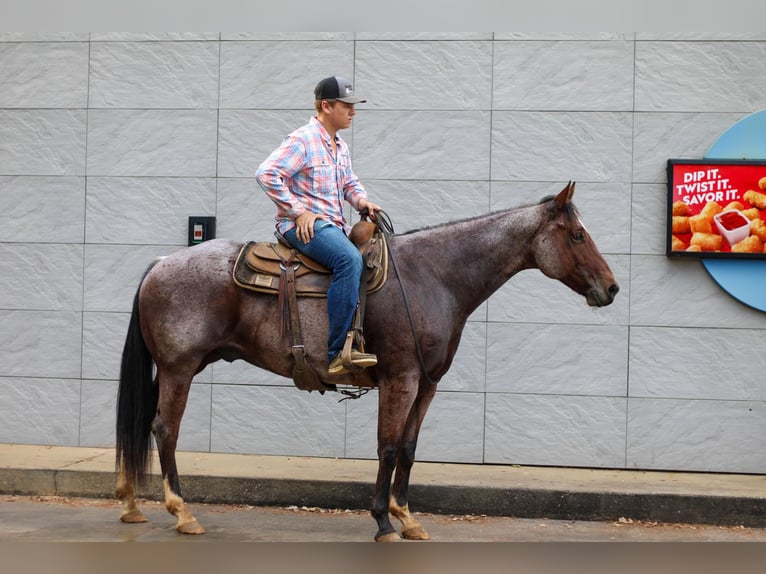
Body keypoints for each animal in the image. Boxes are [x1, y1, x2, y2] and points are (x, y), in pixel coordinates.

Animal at [115, 182, 616, 544]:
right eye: (577, 235)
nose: (610, 288)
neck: (433, 277)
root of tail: (161, 263)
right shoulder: (401, 379)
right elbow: (388, 446)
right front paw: (383, 522)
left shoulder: (427, 384)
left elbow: (409, 449)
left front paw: (407, 518)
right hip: (180, 368)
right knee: (165, 429)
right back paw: (182, 512)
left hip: (174, 368)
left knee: (141, 422)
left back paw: (131, 504)